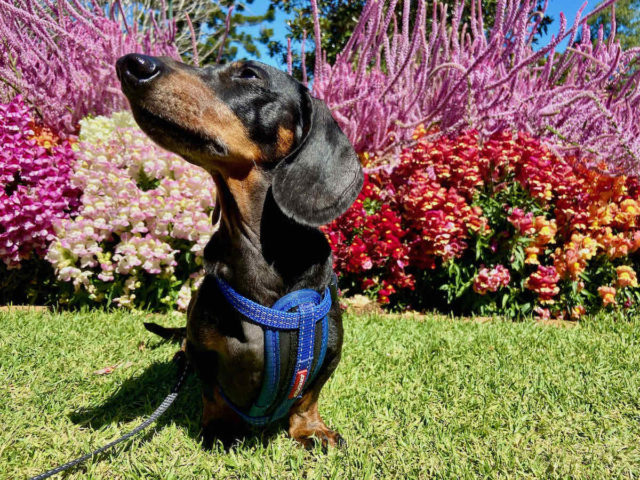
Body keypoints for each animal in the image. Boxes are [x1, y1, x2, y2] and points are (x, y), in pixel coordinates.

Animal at [115, 54, 362, 448]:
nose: (132, 63)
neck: (261, 251)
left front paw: (310, 428)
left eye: (248, 74)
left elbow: (309, 396)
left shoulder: (332, 352)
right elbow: (213, 391)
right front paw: (221, 428)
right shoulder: (201, 350)